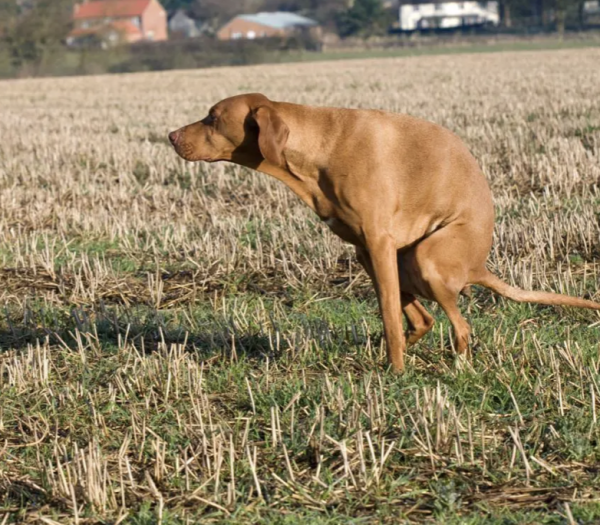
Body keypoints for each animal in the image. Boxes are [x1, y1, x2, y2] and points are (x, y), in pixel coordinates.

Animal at [169, 94, 600, 372]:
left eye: (212, 118)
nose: (171, 136)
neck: (318, 146)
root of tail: (479, 267)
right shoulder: (366, 249)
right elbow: (391, 311)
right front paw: (394, 360)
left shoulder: (378, 242)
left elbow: (390, 315)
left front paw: (396, 371)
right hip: (403, 261)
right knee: (425, 320)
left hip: (427, 258)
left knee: (459, 326)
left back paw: (455, 367)